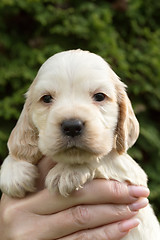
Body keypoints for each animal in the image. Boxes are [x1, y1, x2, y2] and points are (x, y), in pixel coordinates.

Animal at [0, 49, 160, 239]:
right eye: (46, 98)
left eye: (100, 96)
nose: (72, 126)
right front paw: (13, 172)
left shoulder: (135, 180)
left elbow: (106, 157)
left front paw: (66, 171)